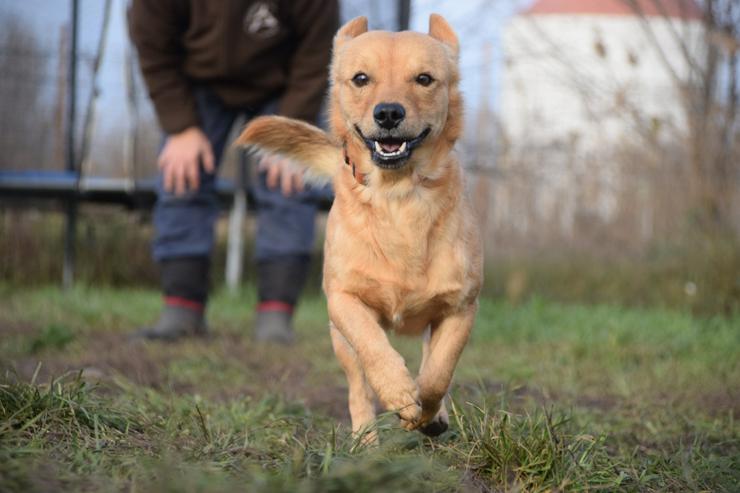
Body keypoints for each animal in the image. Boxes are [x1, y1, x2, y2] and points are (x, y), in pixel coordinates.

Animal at [234, 15, 482, 438]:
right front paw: (399, 393)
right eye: (361, 78)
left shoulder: (460, 307)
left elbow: (438, 373)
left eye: (425, 79)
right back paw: (364, 438)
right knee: (358, 385)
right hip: (339, 339)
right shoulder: (343, 298)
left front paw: (427, 412)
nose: (388, 113)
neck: (397, 197)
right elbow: (373, 348)